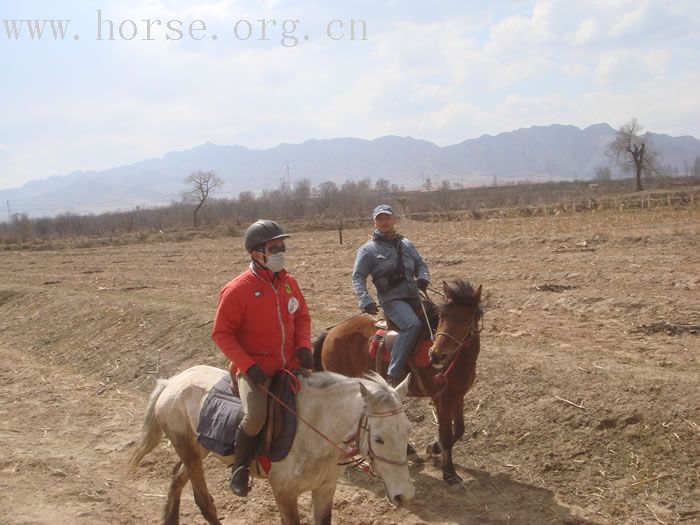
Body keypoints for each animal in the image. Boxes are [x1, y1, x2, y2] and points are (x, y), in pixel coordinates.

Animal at [128, 364, 412, 524]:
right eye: (379, 438)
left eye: (407, 432)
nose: (404, 496)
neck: (313, 430)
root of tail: (171, 382)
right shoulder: (284, 494)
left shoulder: (325, 489)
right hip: (188, 449)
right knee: (203, 500)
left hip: (198, 449)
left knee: (177, 478)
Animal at [316, 278, 484, 484]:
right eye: (442, 317)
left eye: (465, 320)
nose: (436, 355)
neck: (458, 360)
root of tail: (331, 333)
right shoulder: (441, 400)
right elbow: (446, 435)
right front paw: (449, 473)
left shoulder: (458, 396)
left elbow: (459, 429)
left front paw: (433, 448)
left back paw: (407, 449)